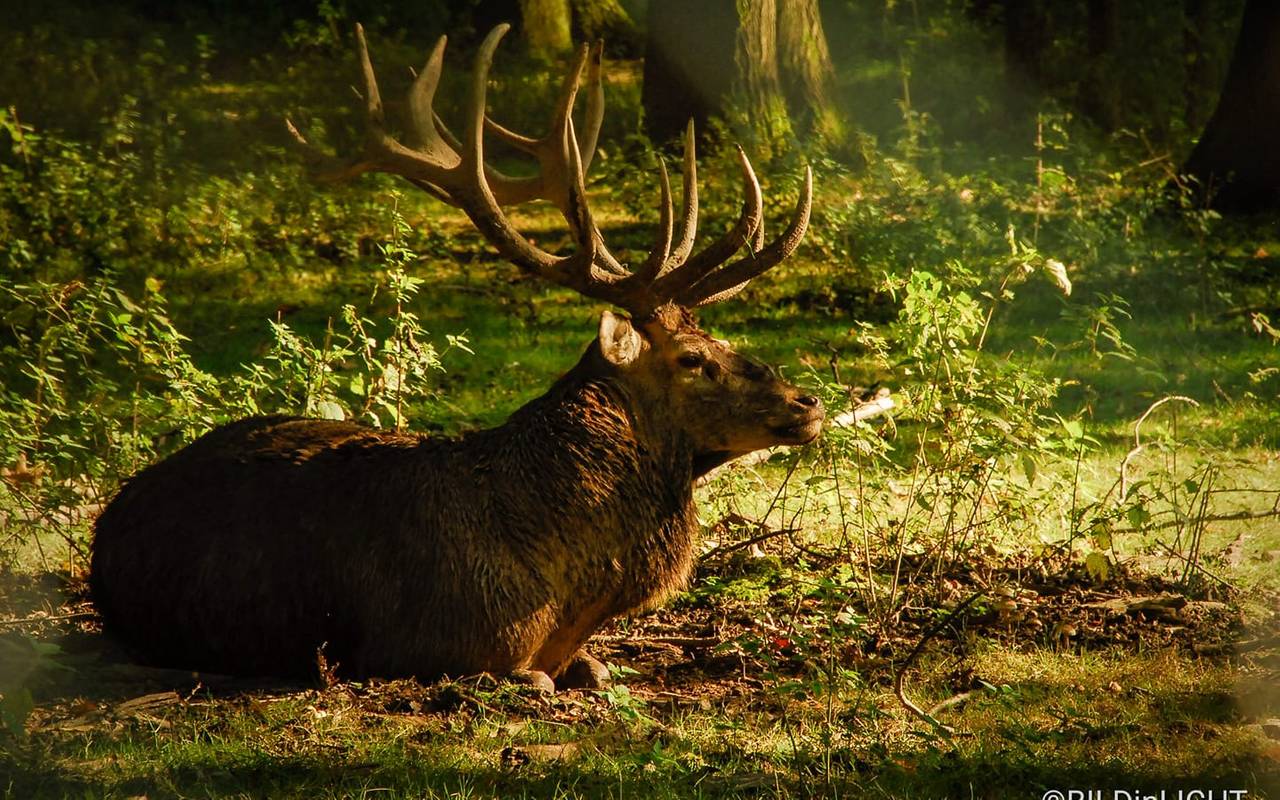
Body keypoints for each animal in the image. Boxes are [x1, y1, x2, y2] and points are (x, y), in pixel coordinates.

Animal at [89, 23, 822, 692]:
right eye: (693, 358)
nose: (807, 402)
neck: (566, 585)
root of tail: (111, 520)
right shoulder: (427, 644)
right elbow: (533, 678)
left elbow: (595, 667)